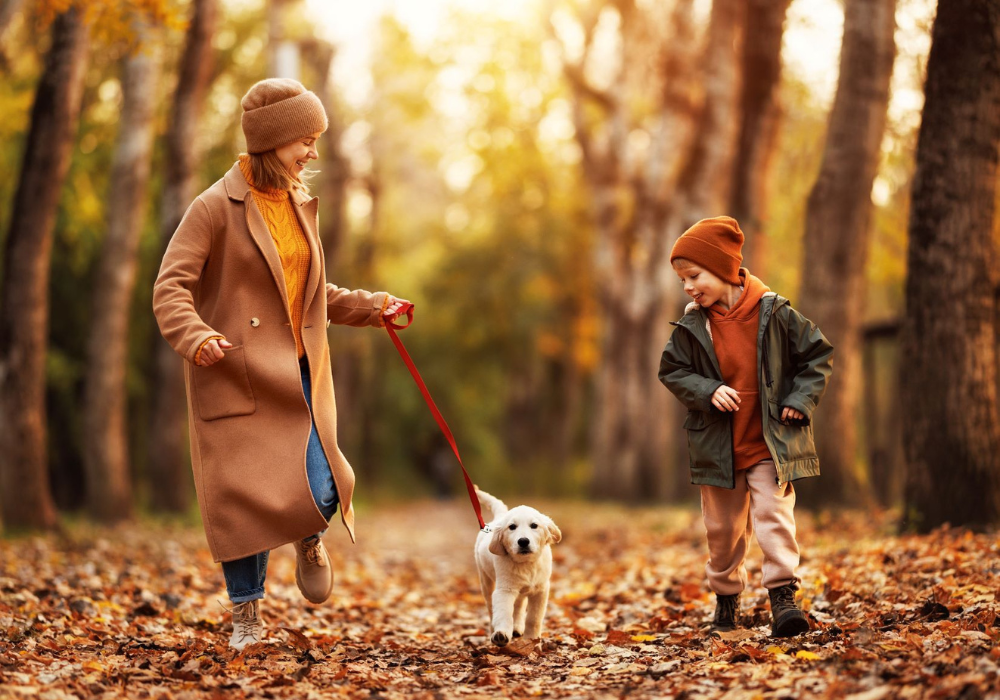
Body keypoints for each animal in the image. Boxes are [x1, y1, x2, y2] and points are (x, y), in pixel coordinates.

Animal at [470, 486, 560, 644]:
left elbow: (533, 618)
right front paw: (501, 634)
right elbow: (503, 613)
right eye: (512, 527)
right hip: (486, 581)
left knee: (518, 606)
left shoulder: (540, 590)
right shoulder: (504, 590)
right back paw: (494, 631)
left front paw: (532, 639)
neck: (526, 564)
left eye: (534, 526)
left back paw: (517, 628)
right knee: (491, 608)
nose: (523, 541)